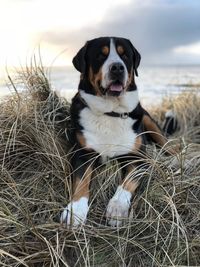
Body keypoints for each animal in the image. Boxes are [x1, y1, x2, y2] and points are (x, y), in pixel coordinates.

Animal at [60, 36, 174, 228]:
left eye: (125, 55)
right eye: (100, 55)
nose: (117, 67)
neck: (110, 112)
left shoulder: (139, 157)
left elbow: (127, 182)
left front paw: (117, 208)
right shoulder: (82, 153)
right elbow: (81, 181)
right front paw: (75, 211)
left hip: (148, 120)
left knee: (169, 145)